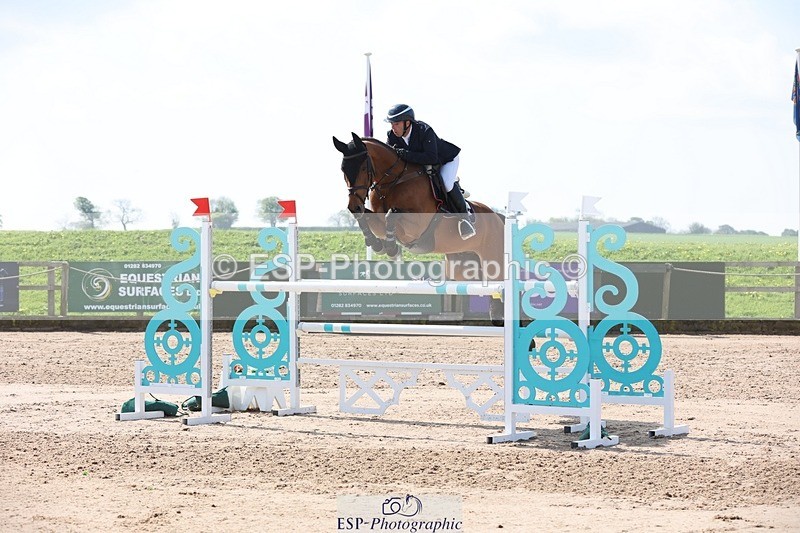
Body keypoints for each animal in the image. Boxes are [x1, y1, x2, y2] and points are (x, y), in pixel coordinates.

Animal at [332, 132, 506, 325]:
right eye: (343, 169)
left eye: (363, 168)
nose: (353, 206)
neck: (393, 181)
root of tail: (498, 218)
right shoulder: (378, 219)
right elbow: (368, 219)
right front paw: (377, 244)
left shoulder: (416, 225)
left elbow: (391, 215)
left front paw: (391, 248)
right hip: (462, 266)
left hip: (492, 260)